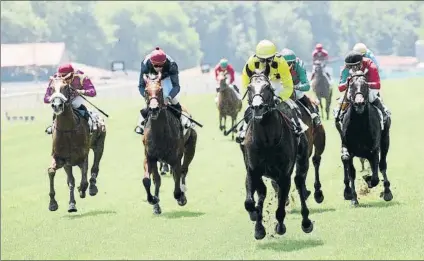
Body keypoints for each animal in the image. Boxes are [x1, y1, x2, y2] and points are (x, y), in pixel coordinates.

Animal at [45, 75, 106, 211]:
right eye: (51, 88)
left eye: (65, 87)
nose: (56, 105)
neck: (68, 130)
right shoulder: (61, 159)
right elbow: (53, 172)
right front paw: (53, 203)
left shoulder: (83, 157)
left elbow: (84, 180)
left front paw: (82, 190)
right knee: (72, 179)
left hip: (99, 146)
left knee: (95, 167)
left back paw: (92, 188)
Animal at [141, 71, 197, 213]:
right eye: (146, 90)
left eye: (160, 90)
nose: (154, 109)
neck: (160, 134)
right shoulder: (150, 157)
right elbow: (149, 180)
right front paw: (154, 201)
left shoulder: (175, 158)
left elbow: (177, 182)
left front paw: (181, 197)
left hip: (191, 146)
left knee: (183, 170)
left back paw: (183, 192)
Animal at [240, 69, 314, 240]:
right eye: (249, 87)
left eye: (267, 87)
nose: (258, 107)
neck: (267, 141)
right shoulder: (253, 170)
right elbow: (250, 201)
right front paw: (258, 224)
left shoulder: (284, 174)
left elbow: (280, 206)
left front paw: (279, 227)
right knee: (263, 192)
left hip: (302, 161)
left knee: (299, 183)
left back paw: (306, 222)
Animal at [336, 71, 392, 205]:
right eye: (351, 85)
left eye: (366, 85)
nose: (359, 103)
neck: (359, 127)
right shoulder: (348, 148)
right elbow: (350, 170)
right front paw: (353, 197)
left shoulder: (374, 149)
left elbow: (375, 177)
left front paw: (368, 179)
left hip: (385, 140)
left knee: (382, 164)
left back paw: (387, 191)